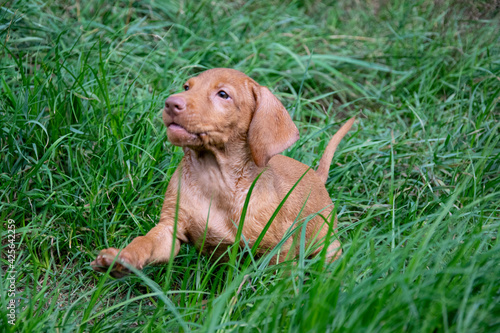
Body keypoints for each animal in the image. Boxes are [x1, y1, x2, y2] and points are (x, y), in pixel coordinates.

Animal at [91, 68, 356, 276]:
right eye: (187, 87)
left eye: (223, 94)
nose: (170, 103)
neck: (215, 178)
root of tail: (317, 177)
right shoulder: (170, 228)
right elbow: (145, 242)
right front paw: (122, 258)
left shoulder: (280, 248)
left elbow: (277, 285)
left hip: (327, 243)